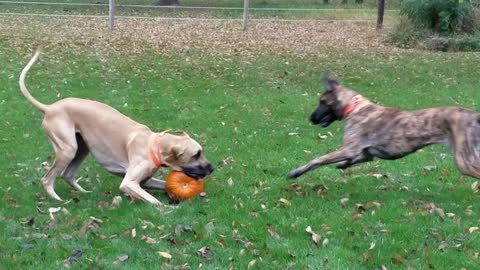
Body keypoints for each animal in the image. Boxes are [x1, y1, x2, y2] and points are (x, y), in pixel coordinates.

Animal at [19, 49, 214, 205]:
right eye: (196, 154)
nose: (212, 168)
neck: (156, 145)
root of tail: (49, 108)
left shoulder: (144, 182)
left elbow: (164, 186)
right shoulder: (129, 183)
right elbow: (155, 202)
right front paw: (167, 210)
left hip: (81, 148)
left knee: (67, 175)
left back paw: (84, 193)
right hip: (68, 149)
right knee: (47, 179)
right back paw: (57, 200)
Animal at [286, 74, 480, 179]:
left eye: (322, 102)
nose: (311, 119)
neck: (356, 107)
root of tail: (475, 116)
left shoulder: (349, 148)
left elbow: (317, 160)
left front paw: (296, 172)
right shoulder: (366, 154)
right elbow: (355, 159)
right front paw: (343, 165)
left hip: (464, 160)